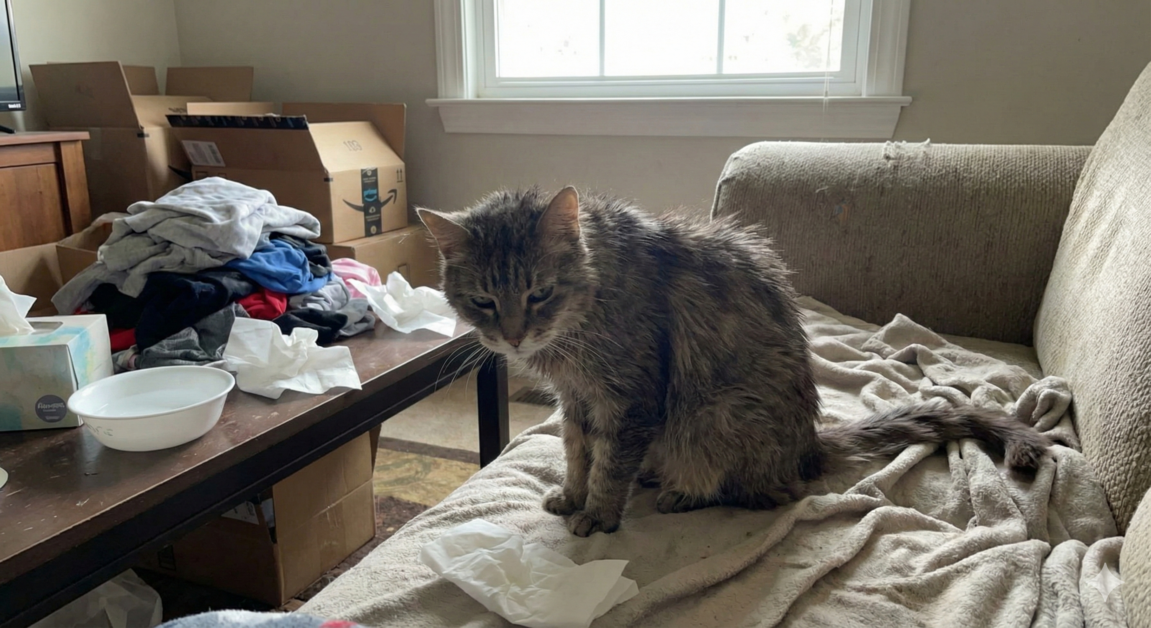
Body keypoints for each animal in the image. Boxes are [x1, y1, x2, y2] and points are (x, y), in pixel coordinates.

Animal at [418, 186, 1051, 537]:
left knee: (756, 492)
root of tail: (806, 448)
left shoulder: (631, 399)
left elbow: (609, 464)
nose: (513, 338)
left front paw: (598, 513)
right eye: (482, 301)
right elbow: (577, 454)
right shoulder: (578, 401)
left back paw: (680, 492)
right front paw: (574, 494)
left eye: (539, 293)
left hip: (712, 417)